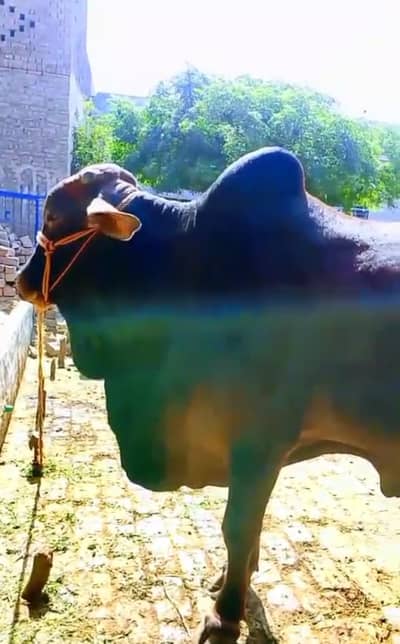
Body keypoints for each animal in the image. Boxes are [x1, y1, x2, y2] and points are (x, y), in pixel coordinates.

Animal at [17, 146, 400, 643]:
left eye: (53, 214)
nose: (22, 281)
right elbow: (249, 528)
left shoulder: (260, 443)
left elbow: (238, 527)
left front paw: (225, 616)